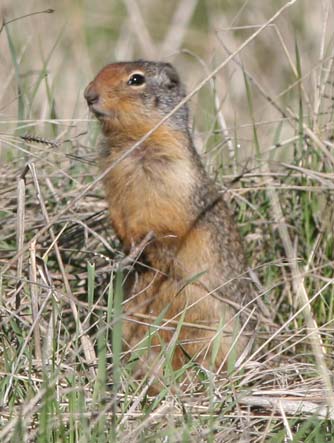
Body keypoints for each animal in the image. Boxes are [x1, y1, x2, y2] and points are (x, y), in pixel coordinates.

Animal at [84, 59, 256, 386]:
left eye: (135, 80)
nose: (88, 95)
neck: (133, 142)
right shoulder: (114, 185)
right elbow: (120, 214)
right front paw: (127, 244)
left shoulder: (172, 178)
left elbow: (164, 222)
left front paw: (142, 245)